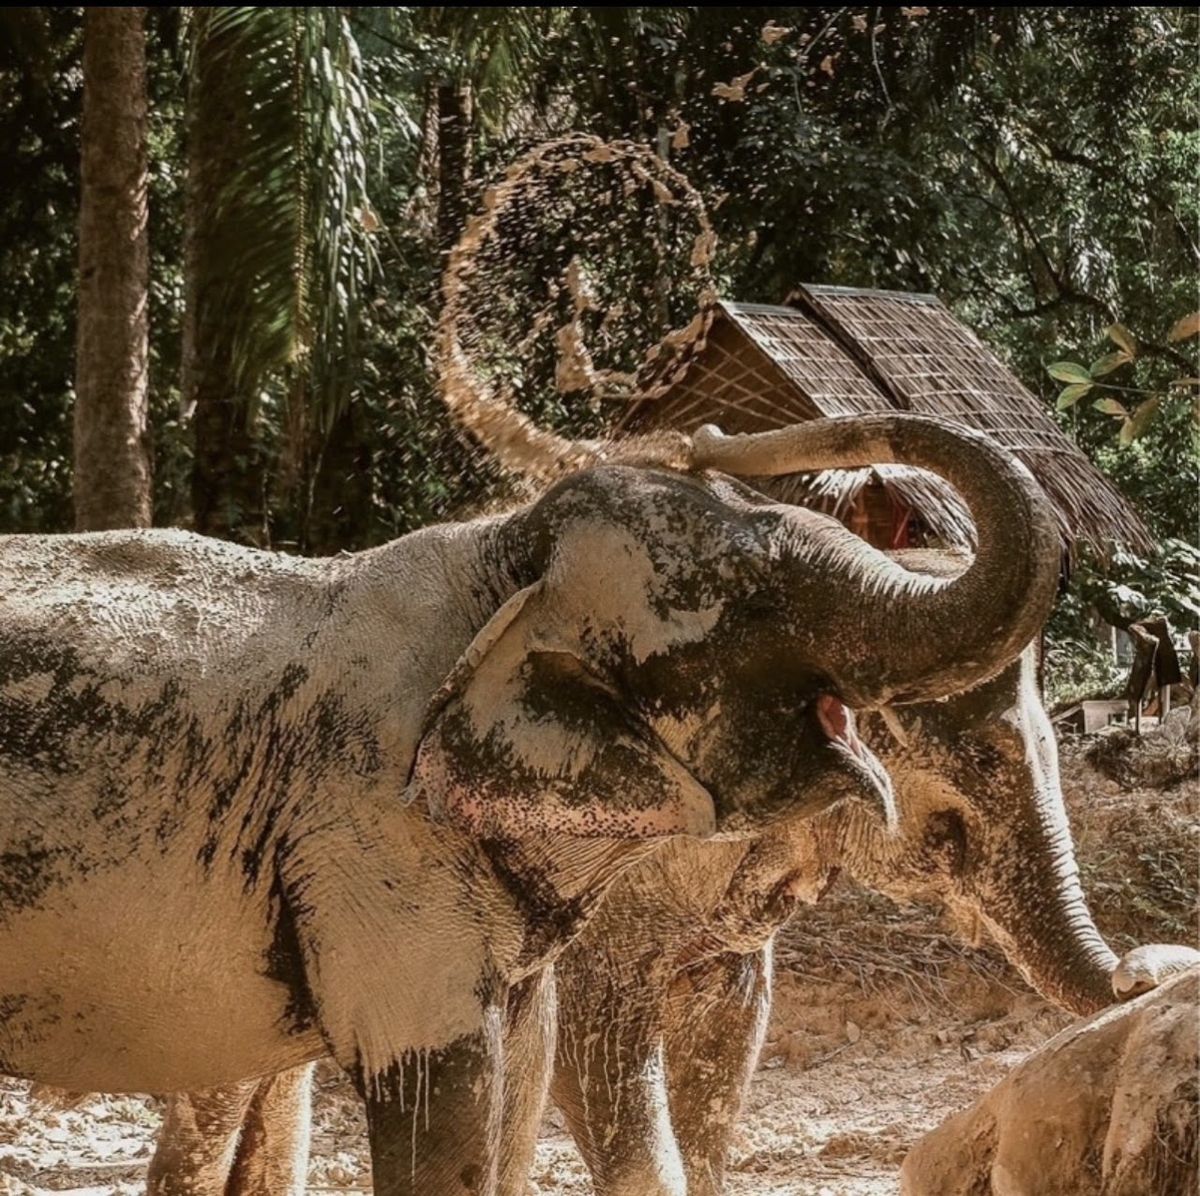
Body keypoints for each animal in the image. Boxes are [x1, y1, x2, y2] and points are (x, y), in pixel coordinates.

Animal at [1, 412, 1062, 1195]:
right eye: (754, 609)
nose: (710, 434)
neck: (502, 562)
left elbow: (522, 1083)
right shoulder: (370, 840)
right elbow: (449, 1109)